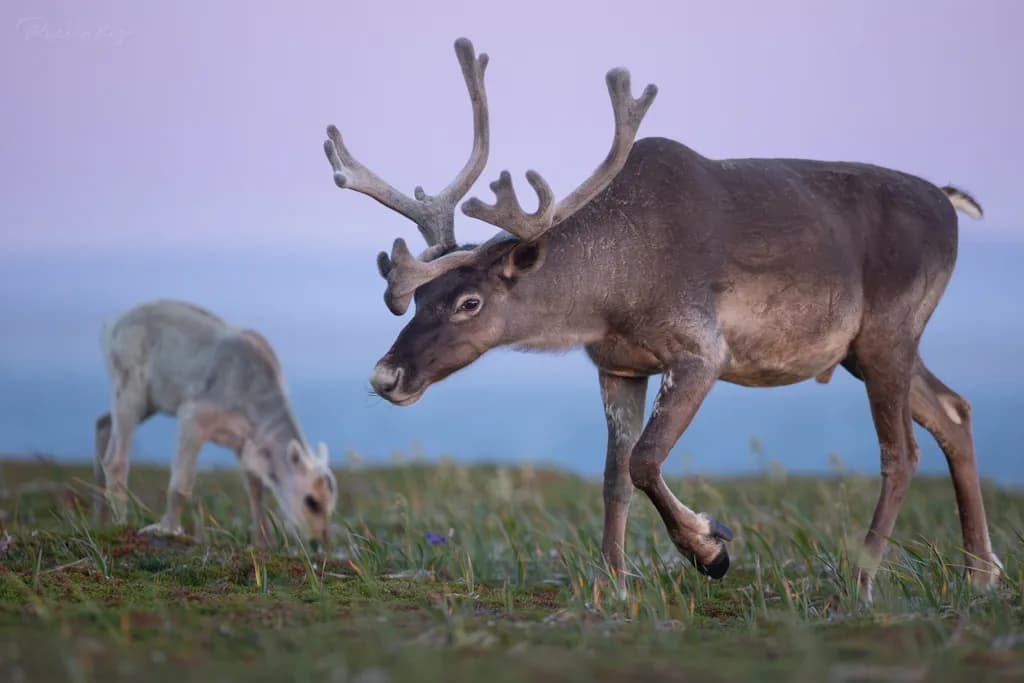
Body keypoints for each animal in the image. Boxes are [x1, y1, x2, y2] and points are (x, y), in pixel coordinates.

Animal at [95, 300, 337, 547]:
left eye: (330, 505)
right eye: (311, 501)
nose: (318, 543)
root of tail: (112, 324)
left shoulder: (244, 443)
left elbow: (256, 491)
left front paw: (262, 543)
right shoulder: (193, 418)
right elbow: (181, 485)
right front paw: (168, 529)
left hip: (150, 402)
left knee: (103, 424)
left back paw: (102, 519)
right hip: (131, 390)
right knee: (115, 459)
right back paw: (121, 523)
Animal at [324, 38, 1002, 601]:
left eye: (470, 303)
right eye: (418, 298)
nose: (387, 375)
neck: (609, 293)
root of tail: (950, 203)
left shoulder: (702, 352)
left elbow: (645, 459)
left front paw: (709, 550)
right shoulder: (618, 366)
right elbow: (613, 476)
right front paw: (612, 583)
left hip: (889, 332)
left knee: (902, 451)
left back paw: (863, 581)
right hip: (865, 348)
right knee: (955, 412)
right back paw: (980, 573)